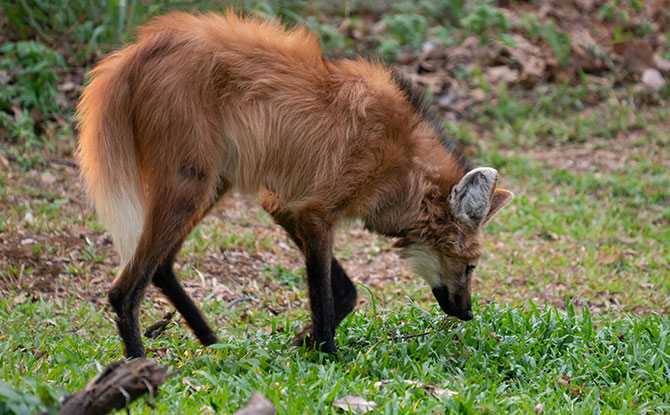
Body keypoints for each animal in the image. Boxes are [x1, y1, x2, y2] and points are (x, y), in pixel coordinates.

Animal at [76, 11, 516, 360]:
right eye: (471, 266)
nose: (468, 312)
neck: (404, 161)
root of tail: (135, 52)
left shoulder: (285, 205)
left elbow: (344, 291)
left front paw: (304, 341)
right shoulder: (317, 211)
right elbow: (327, 293)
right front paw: (328, 353)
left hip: (213, 181)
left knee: (162, 266)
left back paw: (213, 343)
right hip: (190, 183)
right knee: (124, 290)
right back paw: (140, 367)